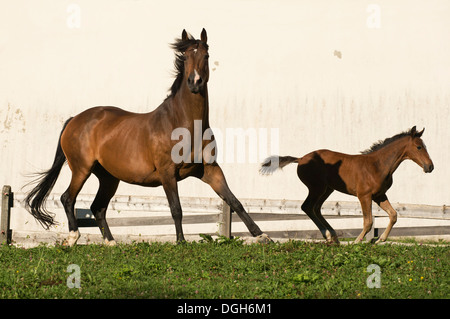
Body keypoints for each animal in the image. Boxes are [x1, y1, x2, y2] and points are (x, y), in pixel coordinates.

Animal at [25, 28, 270, 246]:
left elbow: (234, 201)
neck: (183, 124)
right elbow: (176, 208)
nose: (195, 82)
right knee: (68, 198)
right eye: (185, 56)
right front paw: (181, 242)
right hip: (81, 168)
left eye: (206, 55)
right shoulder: (167, 172)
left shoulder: (210, 170)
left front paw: (261, 236)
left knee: (98, 207)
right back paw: (73, 238)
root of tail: (75, 119)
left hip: (108, 177)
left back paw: (111, 243)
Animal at [260, 127, 432, 245]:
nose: (430, 167)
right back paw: (329, 235)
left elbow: (393, 215)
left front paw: (380, 240)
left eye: (425, 146)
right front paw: (356, 242)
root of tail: (301, 158)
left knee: (315, 208)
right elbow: (368, 221)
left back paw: (333, 237)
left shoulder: (379, 195)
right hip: (317, 188)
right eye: (419, 147)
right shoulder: (364, 196)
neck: (377, 166)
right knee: (307, 207)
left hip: (327, 189)